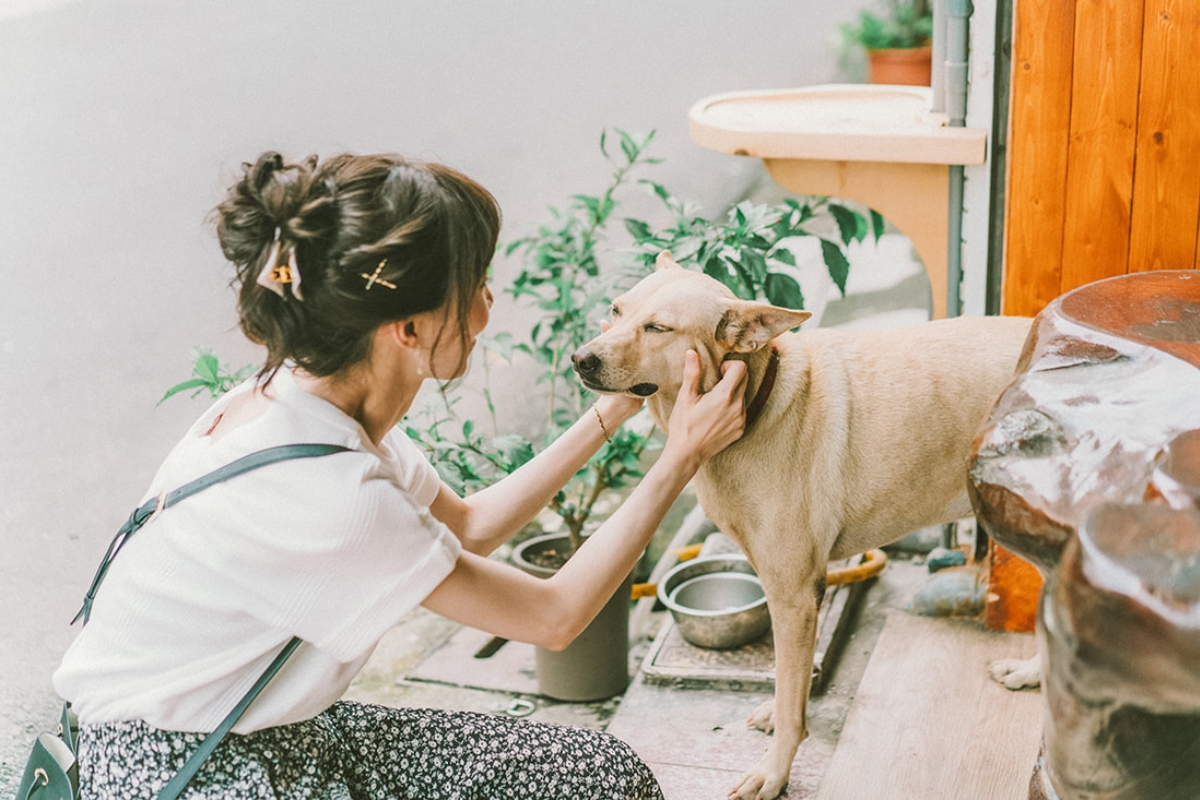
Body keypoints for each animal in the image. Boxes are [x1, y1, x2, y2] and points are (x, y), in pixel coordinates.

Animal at [571, 255, 1032, 800]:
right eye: (616, 311)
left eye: (658, 328)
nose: (580, 359)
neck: (756, 403)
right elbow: (786, 677)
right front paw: (779, 708)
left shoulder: (793, 594)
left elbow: (793, 702)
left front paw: (775, 771)